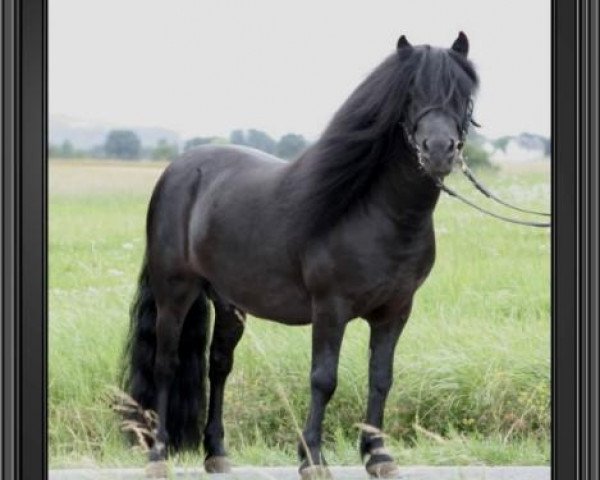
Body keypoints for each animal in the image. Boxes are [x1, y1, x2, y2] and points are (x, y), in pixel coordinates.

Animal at [120, 31, 478, 478]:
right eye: (410, 93)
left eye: (464, 95)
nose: (440, 150)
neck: (376, 213)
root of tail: (179, 169)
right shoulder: (330, 308)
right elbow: (324, 378)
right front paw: (312, 458)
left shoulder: (395, 311)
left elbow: (381, 378)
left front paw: (378, 455)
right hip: (175, 291)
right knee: (166, 364)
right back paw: (158, 453)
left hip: (229, 301)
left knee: (219, 364)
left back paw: (217, 452)